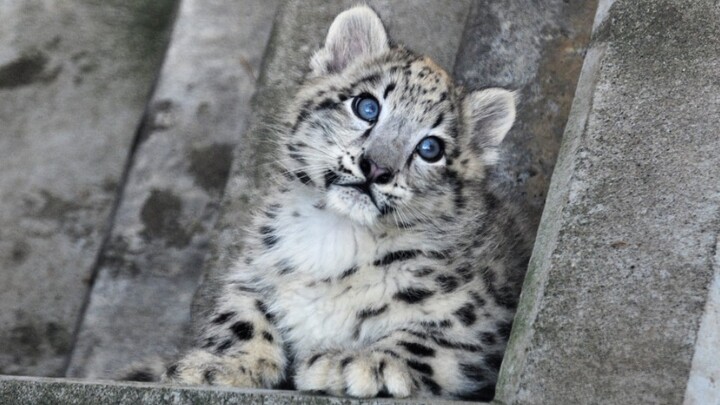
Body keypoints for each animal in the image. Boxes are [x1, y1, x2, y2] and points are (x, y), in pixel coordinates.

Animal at [162, 5, 532, 400]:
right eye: (367, 106)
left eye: (431, 148)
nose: (377, 168)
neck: (336, 235)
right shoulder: (251, 274)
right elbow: (243, 316)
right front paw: (218, 365)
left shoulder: (482, 316)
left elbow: (430, 339)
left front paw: (358, 363)